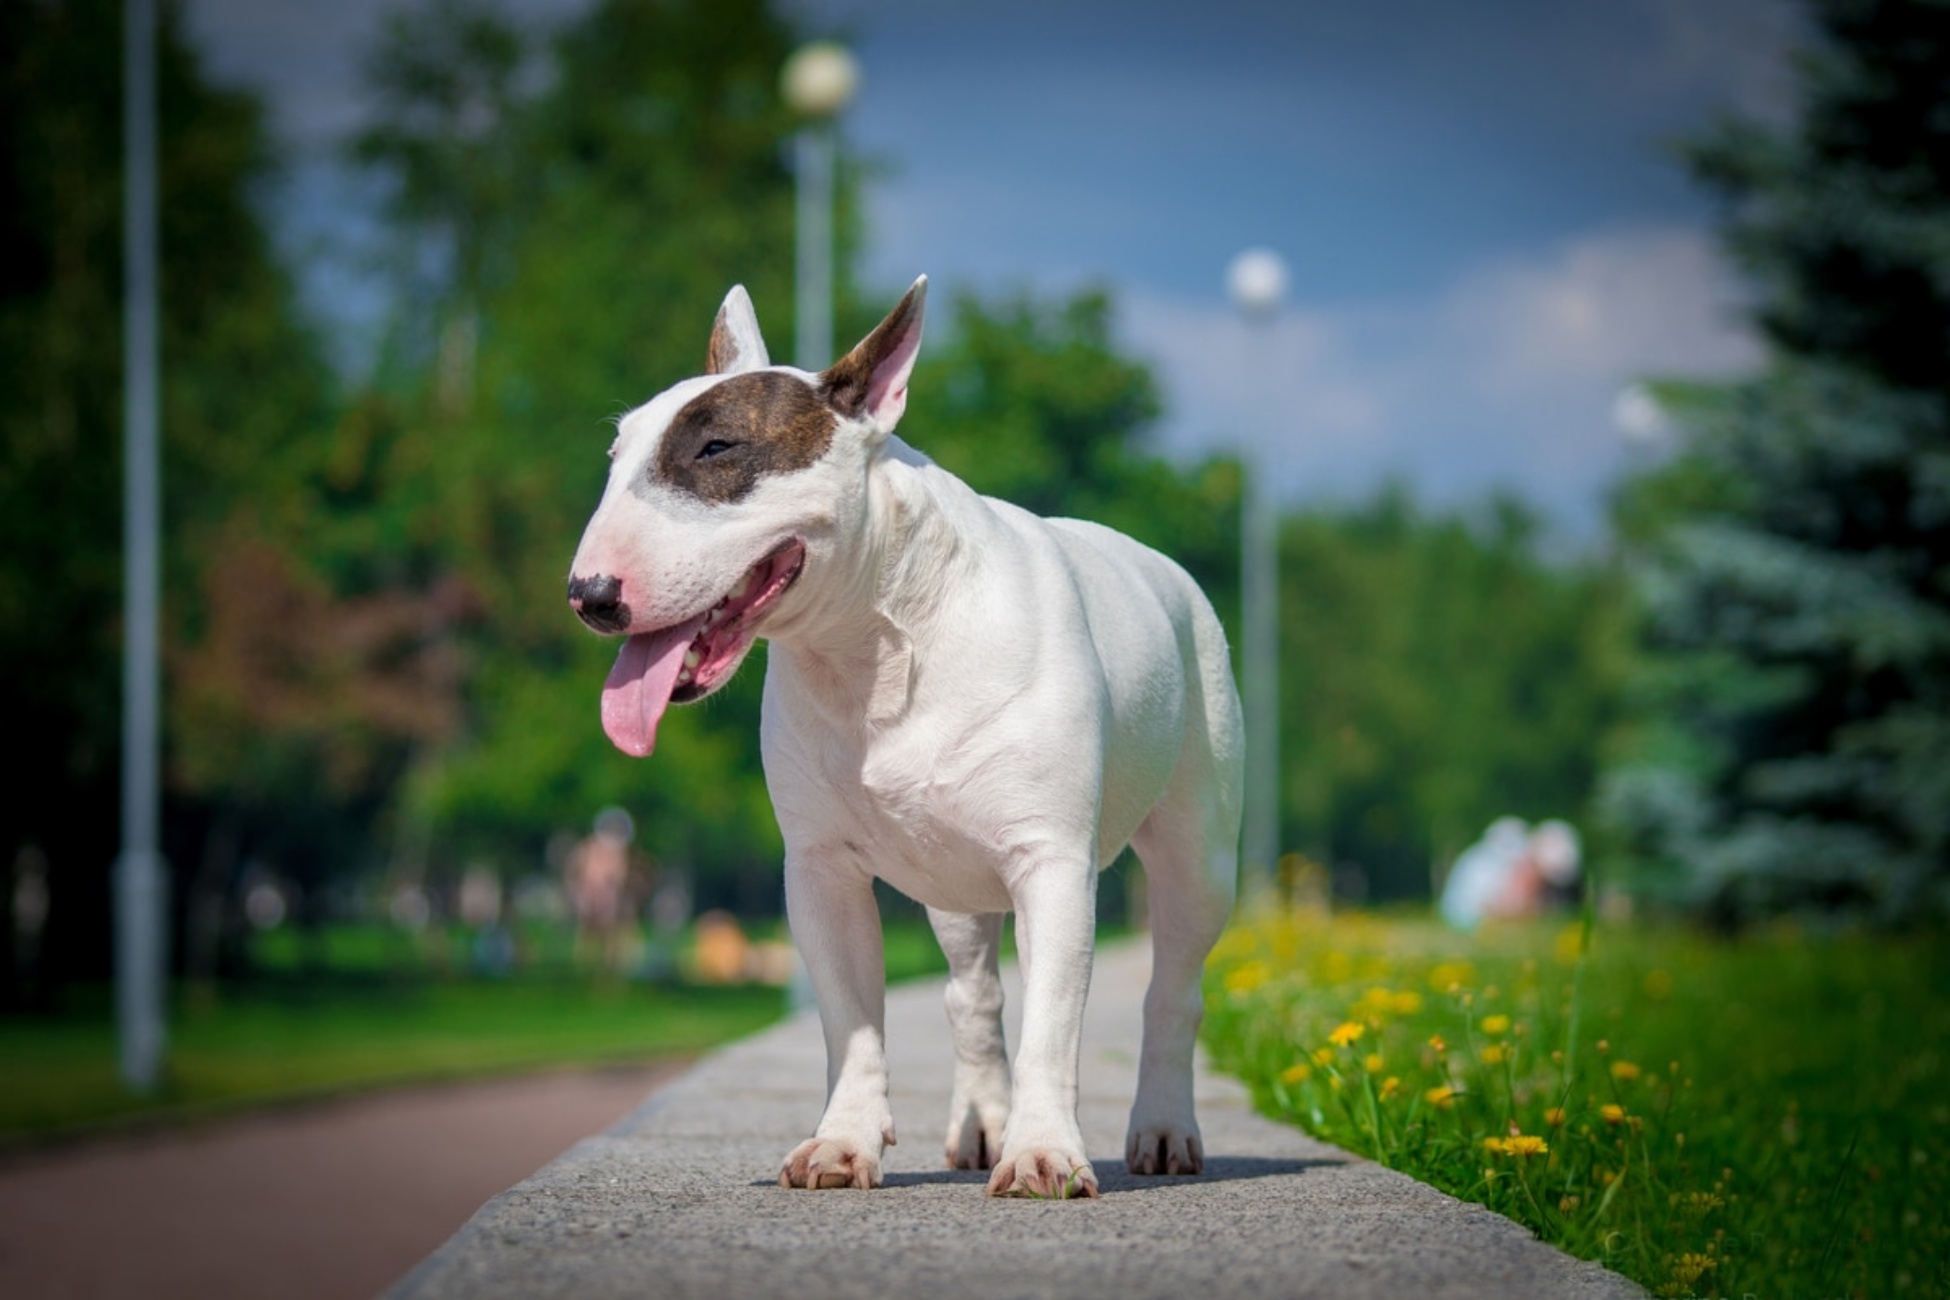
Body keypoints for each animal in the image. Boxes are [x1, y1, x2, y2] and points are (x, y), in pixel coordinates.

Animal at [565, 276, 1240, 1200]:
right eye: (614, 456)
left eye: (717, 448)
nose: (588, 594)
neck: (872, 645)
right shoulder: (819, 872)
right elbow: (850, 1021)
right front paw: (841, 1143)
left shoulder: (1052, 861)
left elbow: (1054, 1024)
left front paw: (1043, 1154)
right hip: (955, 881)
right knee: (973, 995)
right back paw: (983, 1124)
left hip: (1197, 849)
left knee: (1173, 987)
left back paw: (1165, 1129)